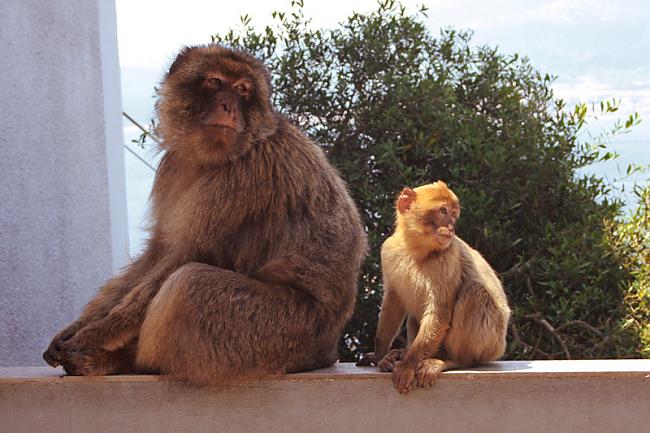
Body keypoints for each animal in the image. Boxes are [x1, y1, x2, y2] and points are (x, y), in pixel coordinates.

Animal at [43, 43, 368, 382]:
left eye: (242, 89)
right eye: (215, 81)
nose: (229, 106)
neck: (213, 157)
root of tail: (327, 350)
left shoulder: (248, 171)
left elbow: (186, 255)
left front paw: (97, 334)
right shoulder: (172, 165)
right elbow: (158, 251)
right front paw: (77, 327)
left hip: (282, 333)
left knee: (190, 284)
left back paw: (126, 362)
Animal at [356, 181, 508, 394]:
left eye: (453, 214)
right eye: (443, 211)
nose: (451, 227)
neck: (414, 250)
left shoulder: (447, 257)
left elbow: (440, 313)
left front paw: (408, 365)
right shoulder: (388, 250)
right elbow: (393, 303)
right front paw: (380, 356)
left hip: (492, 343)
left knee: (474, 292)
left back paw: (450, 360)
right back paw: (402, 352)